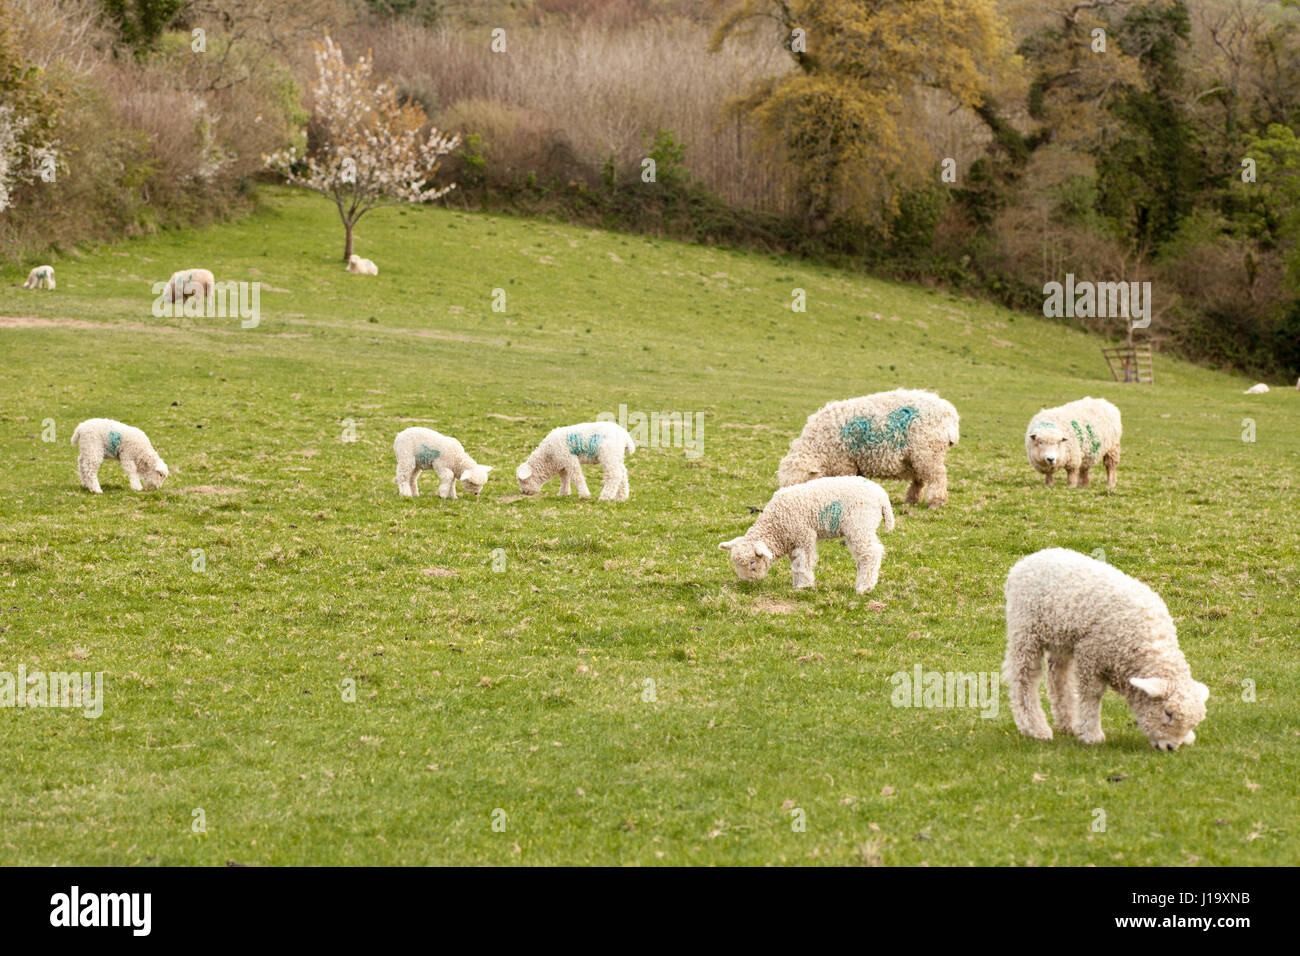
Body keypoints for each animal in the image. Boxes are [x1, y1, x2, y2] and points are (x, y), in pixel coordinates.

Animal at [722, 476, 894, 595]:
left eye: (752, 562)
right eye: (736, 564)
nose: (745, 584)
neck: (776, 526)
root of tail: (882, 496)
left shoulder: (804, 535)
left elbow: (803, 562)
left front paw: (803, 585)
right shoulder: (793, 541)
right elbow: (795, 563)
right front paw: (796, 583)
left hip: (860, 524)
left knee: (871, 554)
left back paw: (864, 587)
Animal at [774, 390, 961, 509]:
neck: (818, 446)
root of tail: (950, 414)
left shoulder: (844, 463)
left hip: (928, 451)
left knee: (937, 477)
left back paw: (936, 502)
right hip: (917, 456)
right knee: (920, 478)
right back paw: (911, 499)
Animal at [1003, 548, 1206, 749]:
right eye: (1168, 713)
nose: (1171, 747)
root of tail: (1026, 561)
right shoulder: (1091, 653)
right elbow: (1092, 694)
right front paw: (1091, 734)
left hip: (1061, 638)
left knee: (1058, 677)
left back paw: (1067, 723)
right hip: (1025, 629)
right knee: (1024, 677)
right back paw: (1034, 728)